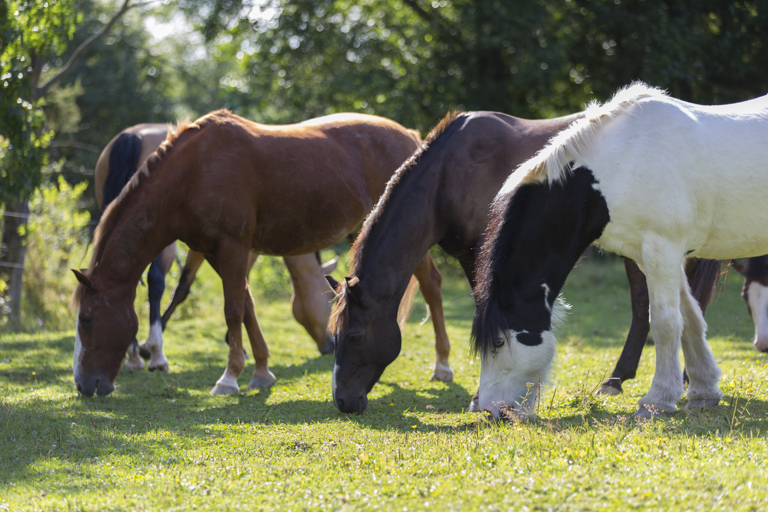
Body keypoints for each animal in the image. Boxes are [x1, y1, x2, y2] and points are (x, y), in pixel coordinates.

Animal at [474, 83, 768, 420]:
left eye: (498, 342)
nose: (490, 411)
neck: (624, 162)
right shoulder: (652, 256)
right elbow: (690, 317)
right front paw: (703, 392)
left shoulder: (662, 249)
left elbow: (665, 322)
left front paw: (658, 399)